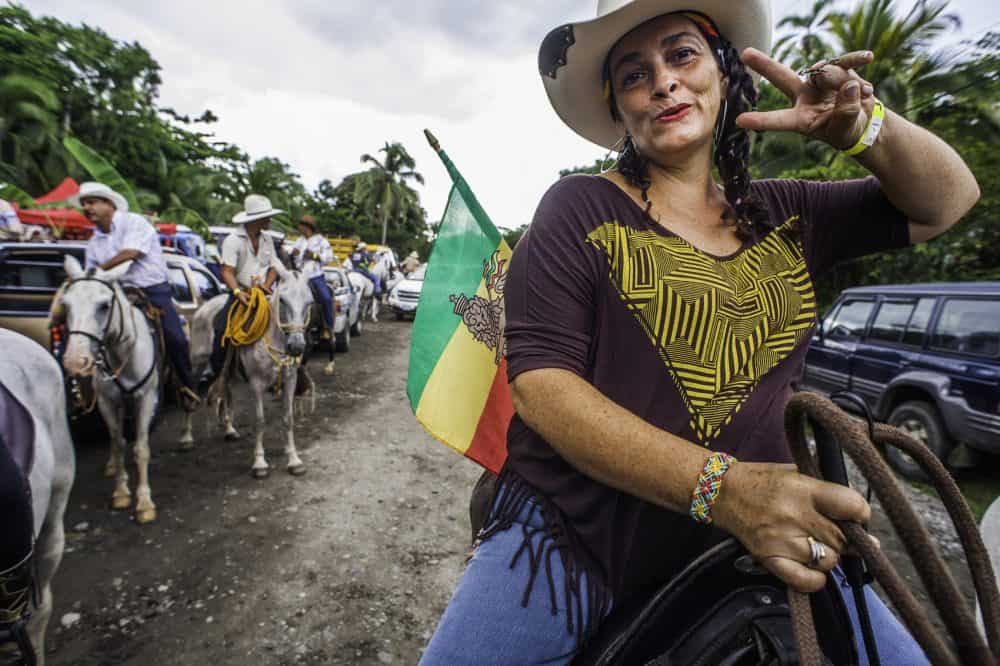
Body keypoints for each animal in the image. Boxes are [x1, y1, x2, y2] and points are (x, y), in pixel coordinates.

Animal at [60, 256, 162, 520]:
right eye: (66, 304)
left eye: (104, 305)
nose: (75, 361)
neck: (121, 353)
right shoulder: (106, 401)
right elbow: (117, 443)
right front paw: (121, 492)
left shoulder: (146, 397)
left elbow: (141, 448)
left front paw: (144, 502)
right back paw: (112, 467)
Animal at [183, 260, 312, 478]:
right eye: (283, 300)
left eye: (309, 302)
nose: (296, 346)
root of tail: (204, 307)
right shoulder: (257, 383)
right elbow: (259, 421)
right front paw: (259, 463)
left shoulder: (290, 379)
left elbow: (288, 418)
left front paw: (294, 460)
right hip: (198, 363)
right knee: (191, 391)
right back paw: (187, 437)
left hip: (229, 370)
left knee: (227, 392)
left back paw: (229, 429)